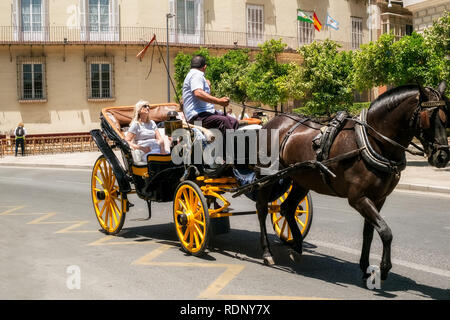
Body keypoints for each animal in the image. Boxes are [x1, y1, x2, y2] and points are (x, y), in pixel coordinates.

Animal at [255, 81, 448, 282]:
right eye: (429, 117)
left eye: (445, 117)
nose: (442, 156)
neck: (371, 140)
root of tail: (273, 122)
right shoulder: (358, 198)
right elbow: (385, 232)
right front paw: (384, 268)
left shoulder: (378, 198)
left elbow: (370, 232)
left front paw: (365, 267)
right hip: (266, 177)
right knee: (262, 209)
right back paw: (267, 252)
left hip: (301, 179)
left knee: (288, 207)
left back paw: (297, 246)